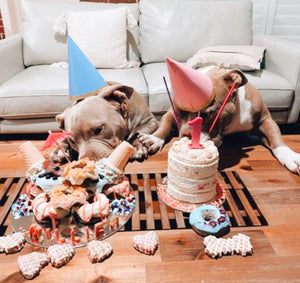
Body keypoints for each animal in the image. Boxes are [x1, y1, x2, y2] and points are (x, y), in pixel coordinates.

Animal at [140, 66, 300, 174]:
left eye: (207, 114)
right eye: (179, 113)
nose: (186, 136)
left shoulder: (265, 119)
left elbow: (276, 138)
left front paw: (290, 156)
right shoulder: (170, 113)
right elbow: (165, 125)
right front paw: (154, 139)